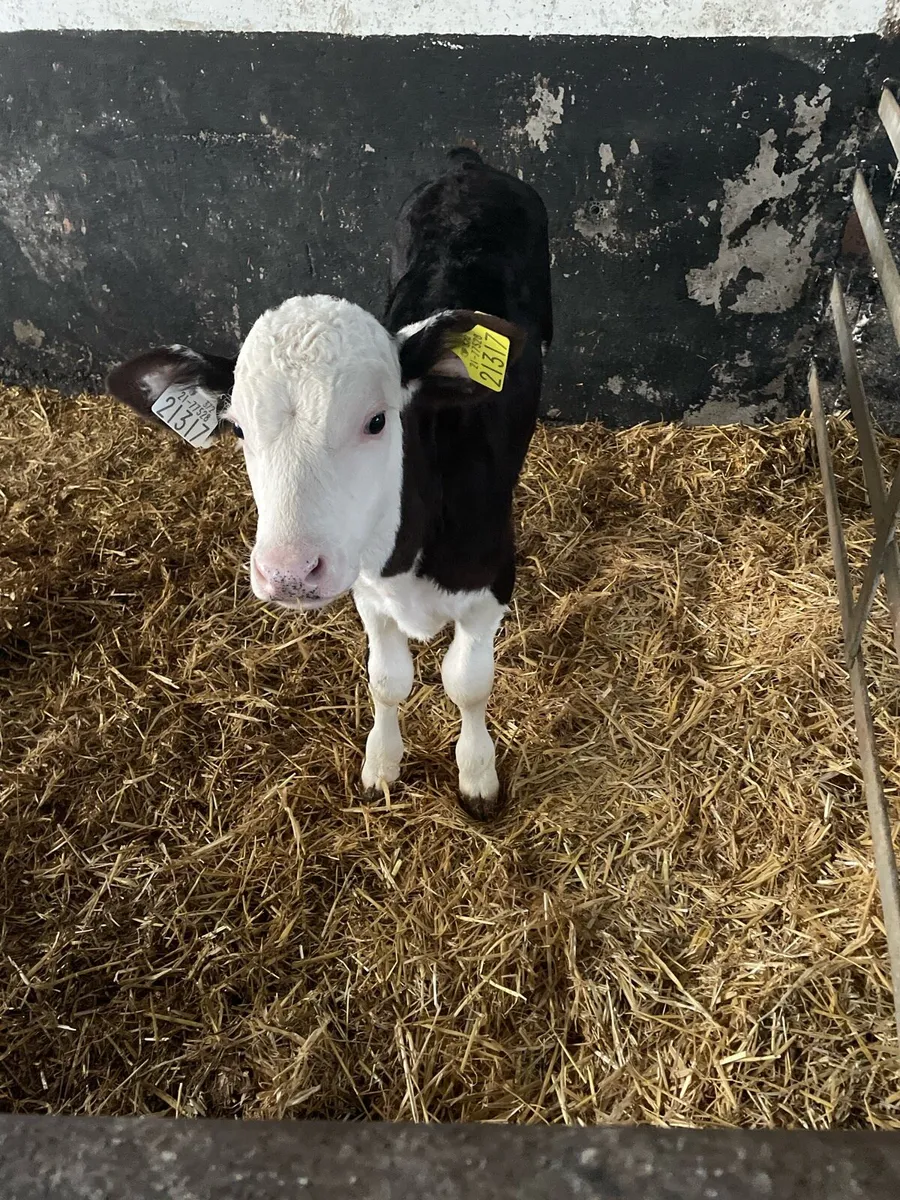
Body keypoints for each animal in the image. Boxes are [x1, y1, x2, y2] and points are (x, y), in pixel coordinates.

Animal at [105, 147, 553, 819]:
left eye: (377, 420)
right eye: (238, 428)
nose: (289, 572)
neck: (406, 547)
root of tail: (468, 166)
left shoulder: (492, 581)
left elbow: (467, 684)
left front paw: (477, 774)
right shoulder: (365, 587)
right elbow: (388, 680)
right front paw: (382, 764)